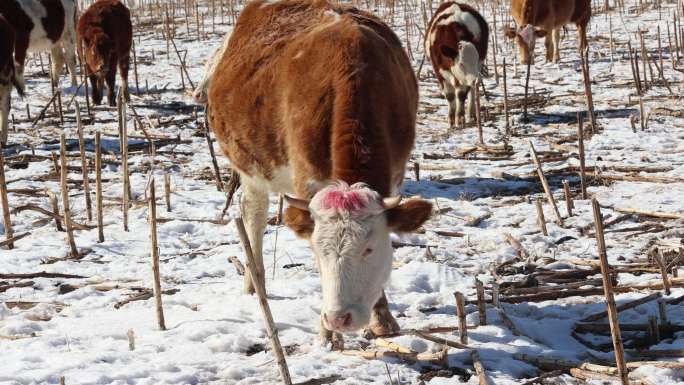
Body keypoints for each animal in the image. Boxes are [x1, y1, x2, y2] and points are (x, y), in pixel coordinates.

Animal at [207, 0, 432, 344]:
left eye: (369, 249)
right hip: (249, 167)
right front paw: (326, 334)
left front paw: (382, 318)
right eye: (317, 250)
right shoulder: (307, 178)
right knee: (254, 217)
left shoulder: (395, 173)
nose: (340, 318)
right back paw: (254, 282)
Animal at [424, 1, 488, 129]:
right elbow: (450, 95)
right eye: (461, 64)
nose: (476, 80)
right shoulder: (439, 71)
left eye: (476, 60)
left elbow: (461, 95)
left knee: (471, 90)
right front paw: (451, 119)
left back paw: (472, 112)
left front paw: (460, 118)